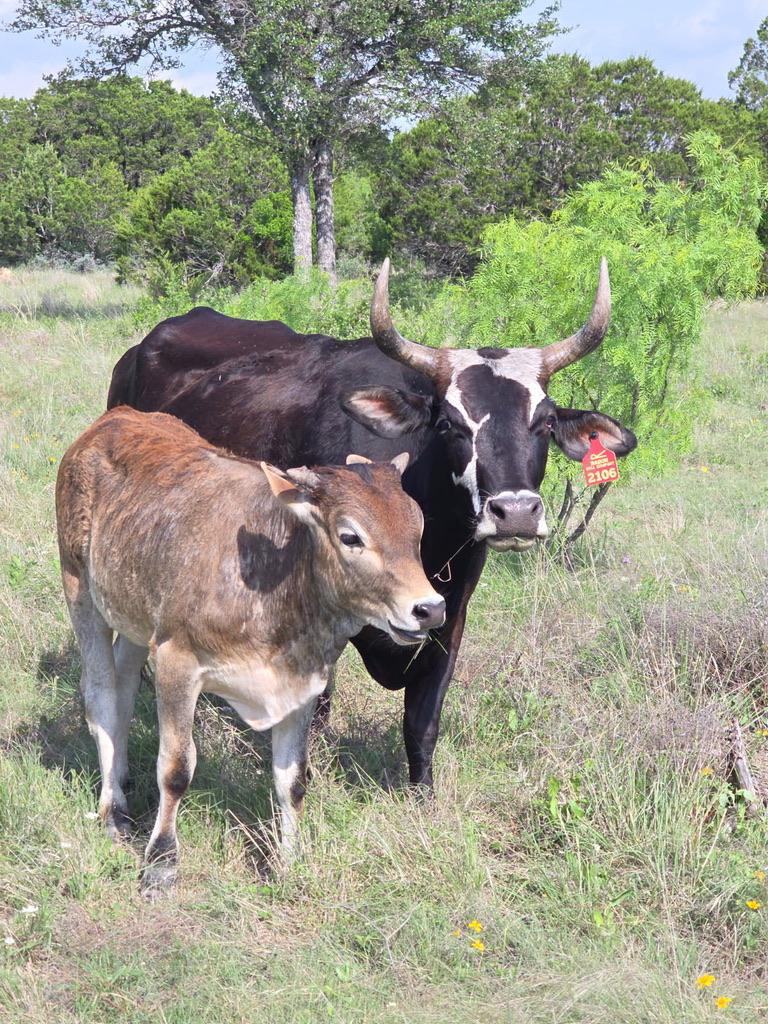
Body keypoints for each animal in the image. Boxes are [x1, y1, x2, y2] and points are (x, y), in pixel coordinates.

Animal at [55, 406, 444, 893]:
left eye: (419, 526)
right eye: (350, 536)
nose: (430, 609)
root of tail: (114, 418)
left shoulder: (303, 686)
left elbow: (292, 779)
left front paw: (291, 861)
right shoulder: (177, 660)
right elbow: (176, 769)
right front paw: (161, 862)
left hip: (136, 619)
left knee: (124, 694)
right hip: (80, 588)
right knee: (103, 700)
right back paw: (114, 812)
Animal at [107, 259, 637, 791]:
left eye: (545, 422)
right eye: (449, 424)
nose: (516, 512)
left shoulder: (452, 617)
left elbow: (422, 721)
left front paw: (422, 794)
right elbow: (313, 710)